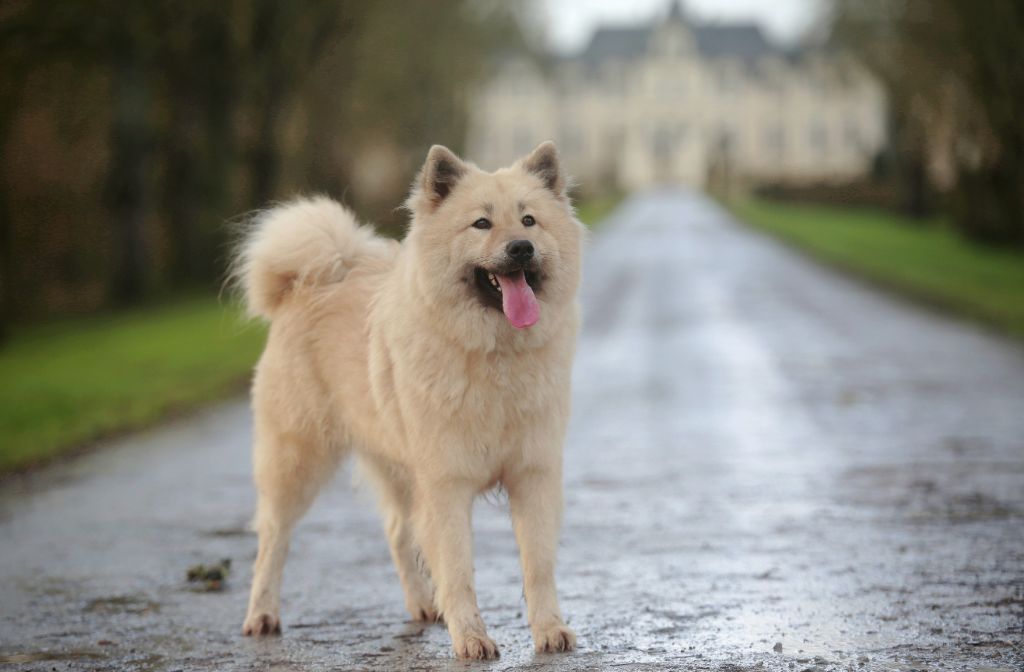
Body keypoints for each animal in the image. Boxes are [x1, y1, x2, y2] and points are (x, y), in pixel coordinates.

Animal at [234, 139, 585, 659]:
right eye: (482, 223)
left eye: (529, 221)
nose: (521, 248)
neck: (494, 356)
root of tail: (310, 279)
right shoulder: (445, 485)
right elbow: (458, 569)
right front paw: (472, 637)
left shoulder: (532, 475)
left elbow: (537, 565)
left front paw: (549, 629)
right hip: (297, 461)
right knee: (273, 539)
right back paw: (261, 615)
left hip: (395, 463)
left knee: (398, 532)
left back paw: (423, 605)